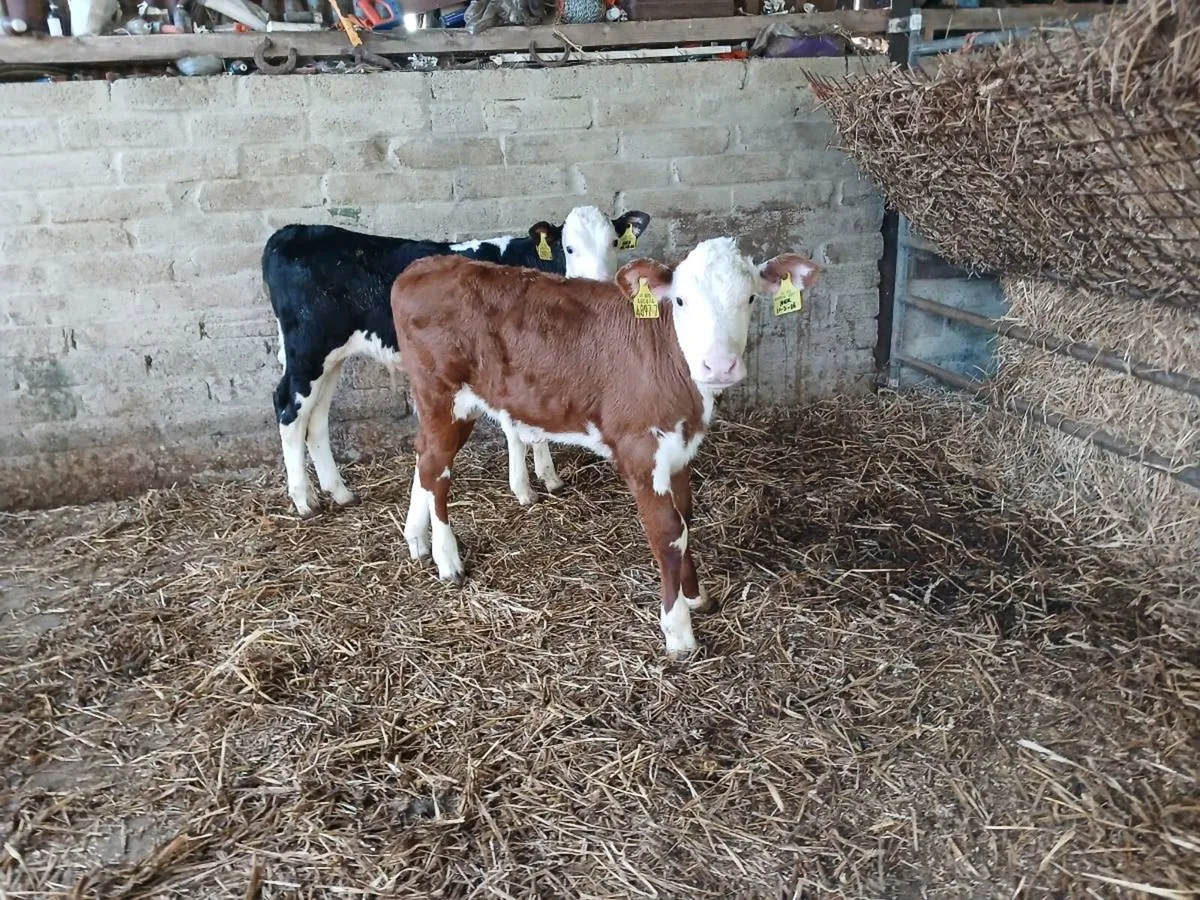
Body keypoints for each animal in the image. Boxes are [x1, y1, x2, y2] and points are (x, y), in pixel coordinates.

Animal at [264, 205, 652, 518]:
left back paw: (340, 492)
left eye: (614, 243)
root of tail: (291, 231)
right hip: (308, 349)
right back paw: (304, 501)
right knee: (288, 408)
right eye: (569, 247)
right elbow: (515, 430)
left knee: (315, 418)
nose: (599, 287)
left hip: (330, 357)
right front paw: (524, 489)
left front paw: (550, 478)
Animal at [390, 238, 821, 659]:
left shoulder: (680, 450)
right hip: (444, 395)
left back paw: (417, 539)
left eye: (749, 298)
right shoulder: (640, 452)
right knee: (436, 470)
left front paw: (696, 596)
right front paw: (679, 632)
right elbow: (668, 533)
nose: (718, 366)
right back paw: (448, 559)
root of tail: (422, 266)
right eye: (681, 301)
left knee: (423, 455)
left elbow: (686, 520)